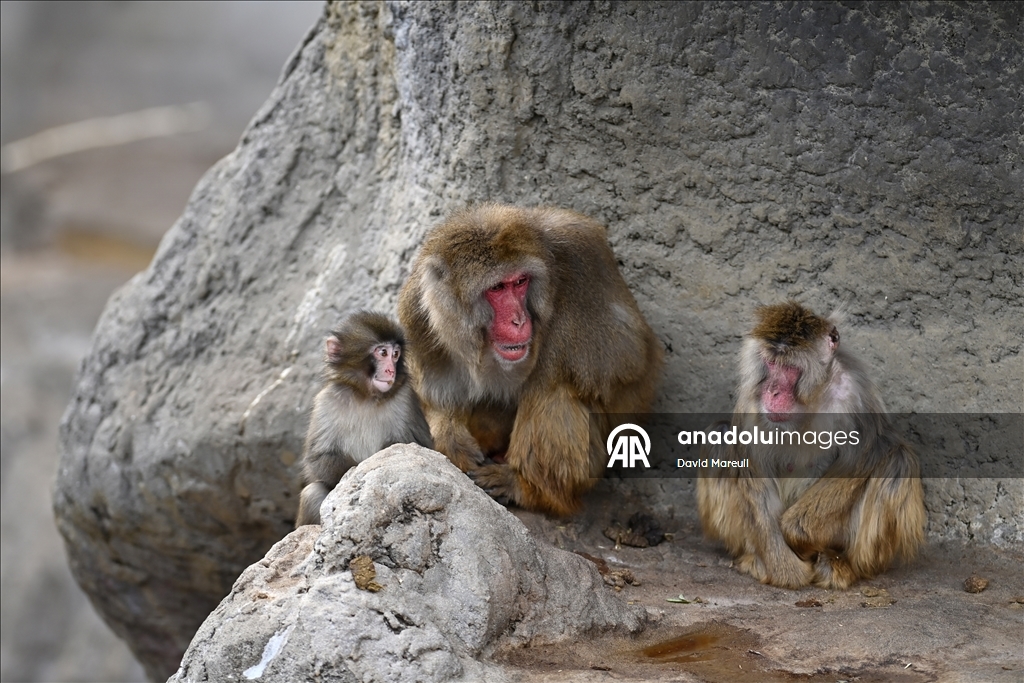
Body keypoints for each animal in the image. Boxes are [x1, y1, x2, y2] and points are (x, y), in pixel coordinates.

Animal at [295, 311, 433, 526]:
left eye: (395, 354)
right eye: (382, 353)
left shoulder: (406, 399)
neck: (366, 397)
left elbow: (422, 449)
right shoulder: (326, 401)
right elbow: (318, 458)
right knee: (312, 492)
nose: (391, 371)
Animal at [397, 204, 662, 516]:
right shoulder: (418, 310)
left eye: (520, 282)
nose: (519, 320)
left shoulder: (583, 256)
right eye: (497, 288)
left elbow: (626, 353)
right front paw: (450, 437)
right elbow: (434, 394)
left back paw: (527, 487)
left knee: (552, 389)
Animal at [697, 301, 925, 589]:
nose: (772, 391)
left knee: (897, 460)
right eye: (771, 363)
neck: (809, 399)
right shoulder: (751, 403)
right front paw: (787, 571)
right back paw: (755, 559)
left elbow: (860, 459)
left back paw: (842, 564)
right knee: (719, 437)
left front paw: (798, 537)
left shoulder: (855, 392)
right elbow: (754, 474)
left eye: (789, 367)